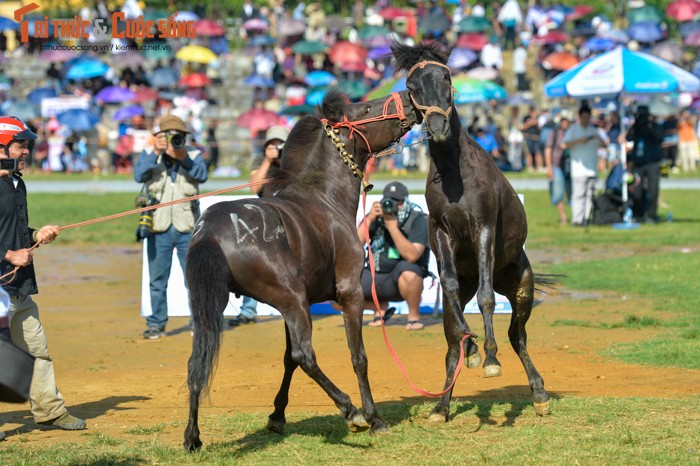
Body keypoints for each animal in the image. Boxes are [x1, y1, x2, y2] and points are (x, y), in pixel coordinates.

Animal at [183, 89, 418, 450]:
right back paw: (351, 412)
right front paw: (374, 417)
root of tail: (210, 229)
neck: (324, 197)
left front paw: (277, 416)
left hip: (222, 303)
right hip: (291, 298)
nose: (407, 95)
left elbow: (286, 360)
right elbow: (357, 356)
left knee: (198, 361)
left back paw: (192, 436)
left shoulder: (292, 307)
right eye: (366, 108)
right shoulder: (349, 292)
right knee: (306, 354)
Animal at [392, 43, 548, 420]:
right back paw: (441, 405)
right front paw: (475, 348)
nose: (437, 126)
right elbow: (449, 291)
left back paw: (539, 393)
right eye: (412, 85)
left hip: (522, 288)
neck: (454, 173)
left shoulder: (484, 228)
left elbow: (487, 297)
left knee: (517, 335)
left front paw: (490, 358)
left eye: (446, 79)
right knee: (453, 344)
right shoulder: (441, 233)